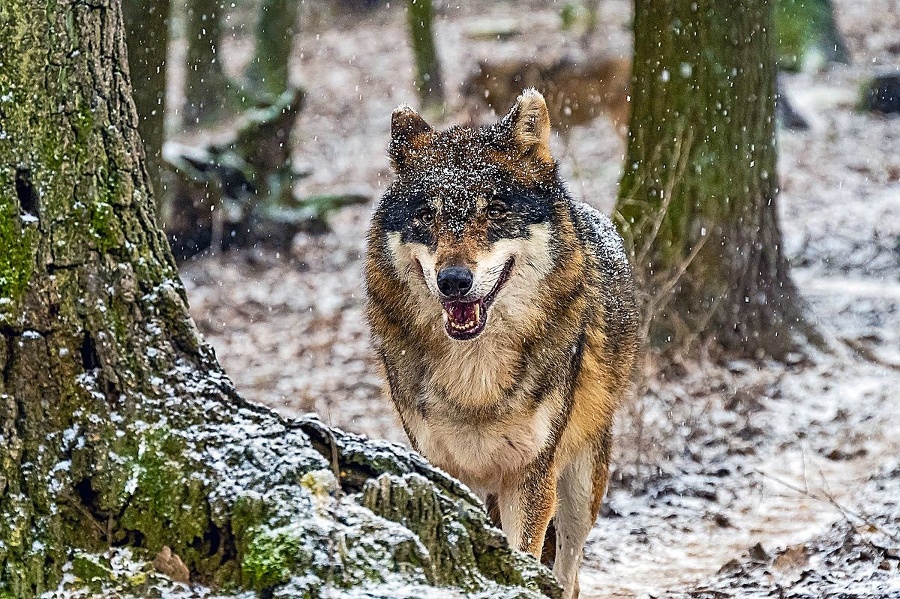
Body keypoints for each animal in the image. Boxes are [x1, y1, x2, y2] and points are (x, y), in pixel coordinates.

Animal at [364, 89, 640, 599]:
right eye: (427, 215)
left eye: (494, 210)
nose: (453, 281)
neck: (476, 376)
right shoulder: (445, 469)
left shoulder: (531, 476)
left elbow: (526, 556)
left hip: (580, 484)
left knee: (569, 572)